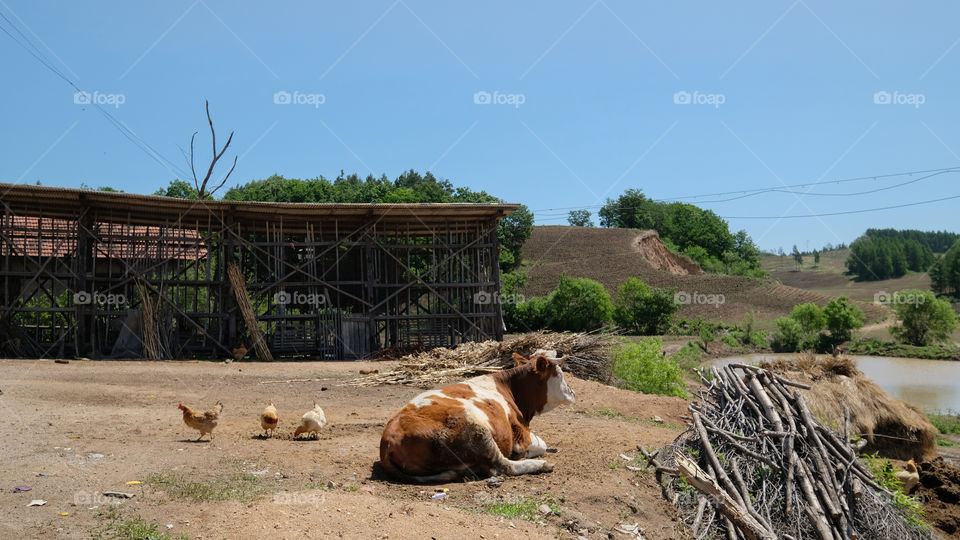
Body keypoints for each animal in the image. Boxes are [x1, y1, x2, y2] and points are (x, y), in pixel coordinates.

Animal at [379, 350, 576, 483]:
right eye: (559, 374)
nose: (573, 393)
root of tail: (388, 438)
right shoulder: (520, 434)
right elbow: (541, 445)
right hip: (476, 432)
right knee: (502, 467)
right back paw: (542, 465)